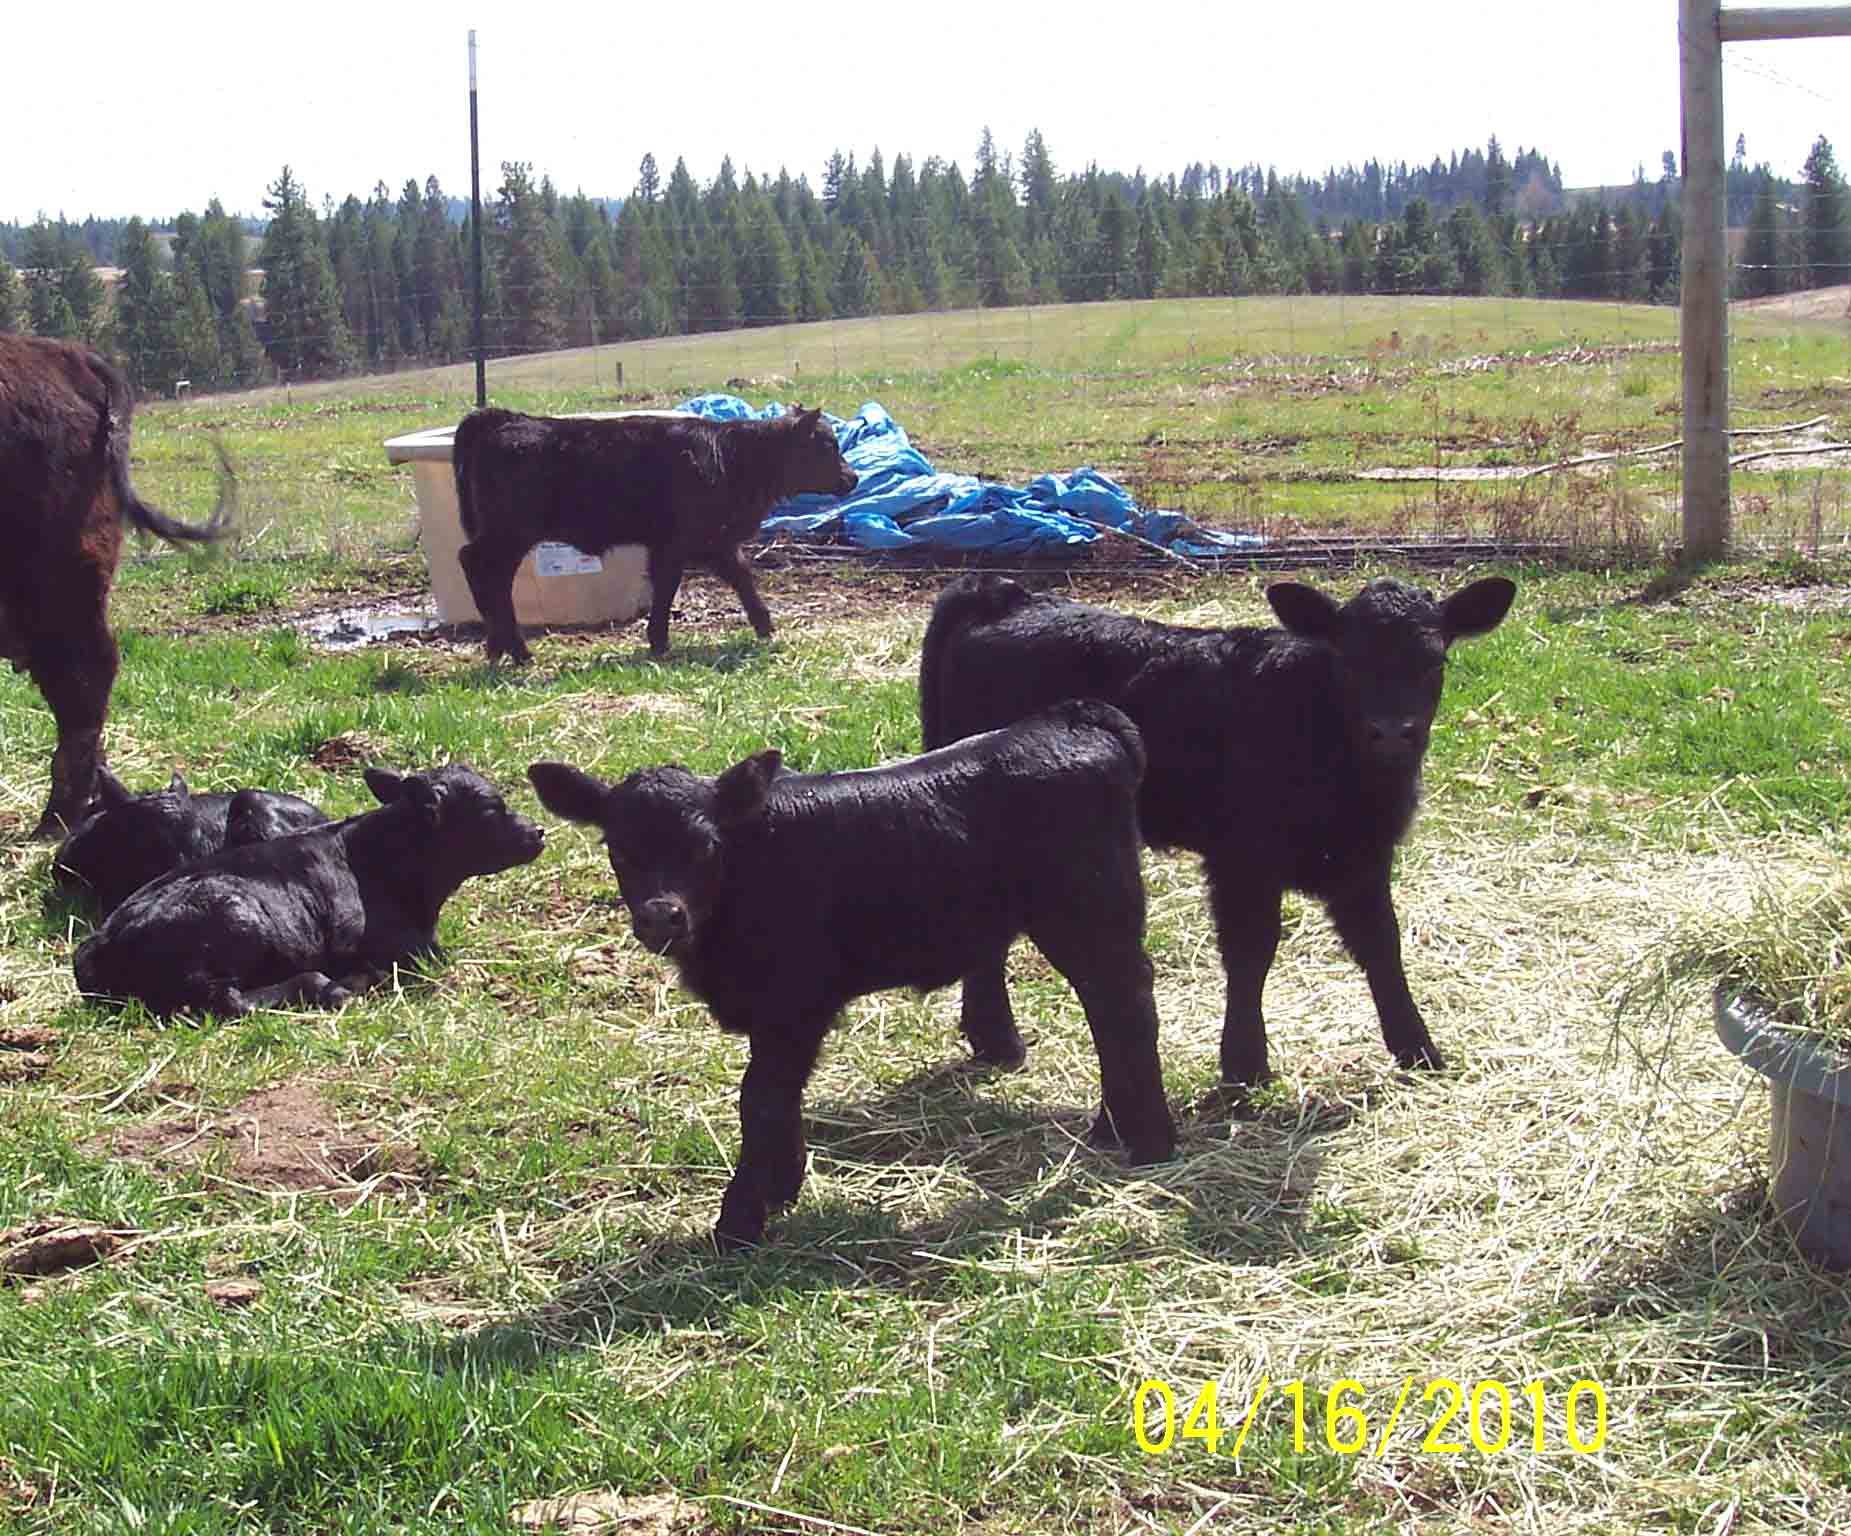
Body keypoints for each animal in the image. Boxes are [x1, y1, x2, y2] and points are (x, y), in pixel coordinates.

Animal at [452, 405, 859, 664]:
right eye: (826, 445)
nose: (852, 478)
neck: (732, 458)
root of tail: (505, 419)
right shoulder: (680, 543)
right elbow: (668, 587)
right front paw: (660, 641)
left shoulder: (713, 543)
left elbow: (741, 578)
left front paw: (765, 627)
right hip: (510, 534)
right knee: (476, 565)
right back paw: (516, 650)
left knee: (492, 577)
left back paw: (499, 647)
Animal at [527, 698, 1177, 1249]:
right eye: (617, 849)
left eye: (706, 846)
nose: (662, 915)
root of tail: (1073, 717)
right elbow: (777, 1092)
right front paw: (781, 1185)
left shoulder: (795, 1000)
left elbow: (760, 1096)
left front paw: (740, 1220)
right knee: (1108, 1011)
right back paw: (1112, 1127)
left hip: (1092, 912)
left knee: (1126, 1005)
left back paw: (1150, 1141)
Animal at [918, 573, 1517, 1089]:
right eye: (1348, 661)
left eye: (1434, 660)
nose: (1392, 733)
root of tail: (1000, 593)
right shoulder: (1242, 859)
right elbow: (1252, 951)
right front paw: (1245, 1065)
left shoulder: (1364, 855)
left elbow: (1381, 944)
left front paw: (1418, 1048)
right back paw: (999, 1036)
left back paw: (994, 1040)